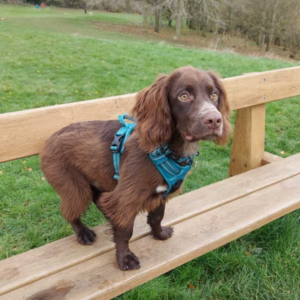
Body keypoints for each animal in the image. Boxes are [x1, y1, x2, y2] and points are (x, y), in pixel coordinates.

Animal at [40, 66, 232, 272]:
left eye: (214, 95)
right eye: (184, 96)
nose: (215, 120)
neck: (169, 150)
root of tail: (49, 139)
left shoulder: (160, 194)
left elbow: (156, 217)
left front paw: (159, 235)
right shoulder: (127, 197)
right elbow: (125, 231)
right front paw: (125, 258)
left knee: (99, 200)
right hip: (73, 186)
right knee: (70, 210)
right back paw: (83, 232)